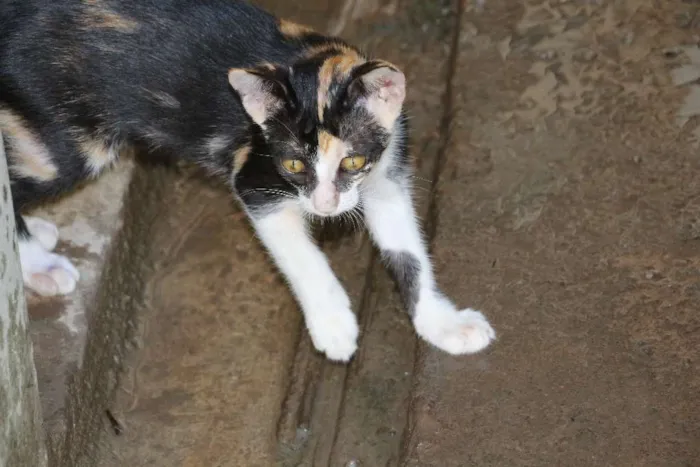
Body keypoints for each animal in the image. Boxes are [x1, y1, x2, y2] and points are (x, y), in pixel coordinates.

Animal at [0, 0, 494, 362]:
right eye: (293, 166)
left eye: (352, 161)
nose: (325, 206)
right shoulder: (257, 183)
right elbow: (302, 257)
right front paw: (333, 324)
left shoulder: (386, 174)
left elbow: (408, 252)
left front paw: (442, 325)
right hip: (70, 141)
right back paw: (38, 263)